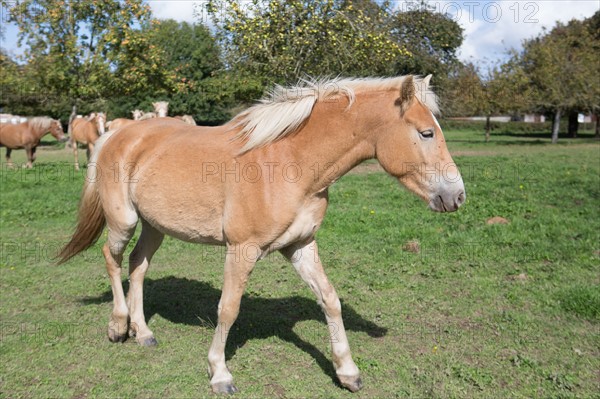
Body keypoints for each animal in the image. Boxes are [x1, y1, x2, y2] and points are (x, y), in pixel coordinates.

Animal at [58, 76, 466, 396]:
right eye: (426, 133)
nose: (457, 195)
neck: (290, 163)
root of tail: (116, 134)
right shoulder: (242, 250)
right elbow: (228, 308)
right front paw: (220, 374)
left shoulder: (301, 246)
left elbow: (330, 300)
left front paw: (348, 372)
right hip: (124, 220)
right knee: (112, 259)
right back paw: (118, 326)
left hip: (155, 226)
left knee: (138, 266)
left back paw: (143, 332)